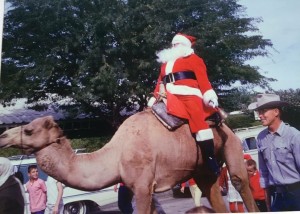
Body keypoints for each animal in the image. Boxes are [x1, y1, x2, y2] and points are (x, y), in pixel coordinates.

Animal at [0, 109, 258, 213]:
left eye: (29, 130)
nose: (3, 136)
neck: (116, 155)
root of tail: (222, 120)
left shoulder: (143, 186)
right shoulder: (144, 188)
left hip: (231, 143)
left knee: (239, 181)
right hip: (203, 168)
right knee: (212, 190)